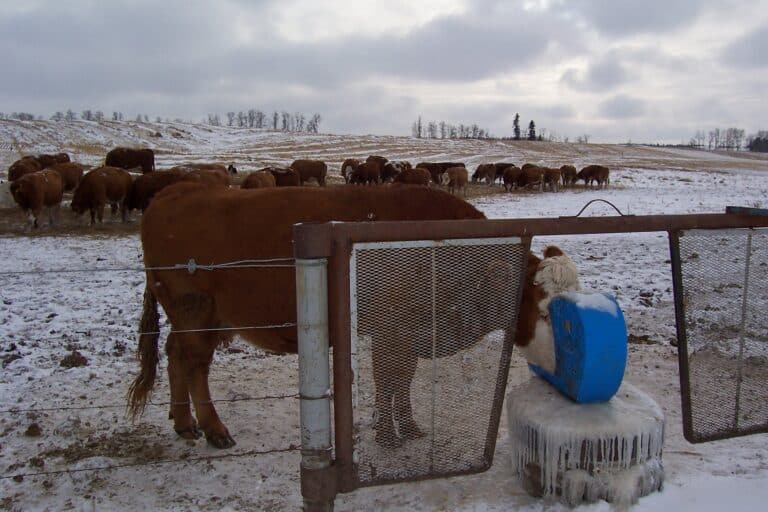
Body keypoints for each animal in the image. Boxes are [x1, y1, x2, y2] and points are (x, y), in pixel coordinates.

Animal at [128, 184, 484, 448]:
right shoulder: (394, 332)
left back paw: (184, 423)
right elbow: (389, 381)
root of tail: (174, 192)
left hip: (204, 319)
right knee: (195, 365)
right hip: (196, 313)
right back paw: (216, 431)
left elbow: (401, 380)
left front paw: (410, 428)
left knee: (175, 355)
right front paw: (389, 437)